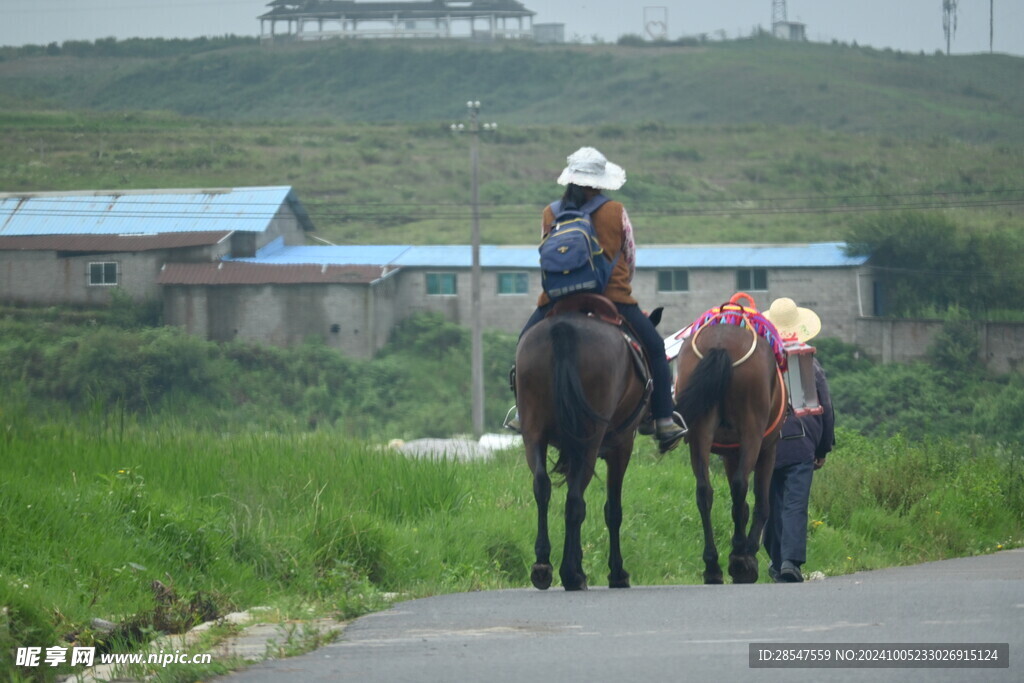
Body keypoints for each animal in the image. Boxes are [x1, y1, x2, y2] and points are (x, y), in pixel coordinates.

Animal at [516, 301, 651, 589]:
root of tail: (563, 328)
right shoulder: (621, 446)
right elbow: (613, 510)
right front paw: (617, 573)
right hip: (590, 442)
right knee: (575, 501)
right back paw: (571, 574)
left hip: (533, 433)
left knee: (542, 486)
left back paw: (543, 566)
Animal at [671, 313, 782, 585]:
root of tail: (722, 344)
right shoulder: (768, 449)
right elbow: (760, 502)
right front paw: (748, 553)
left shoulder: (731, 454)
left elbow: (739, 506)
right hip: (752, 430)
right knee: (742, 484)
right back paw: (740, 558)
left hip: (700, 432)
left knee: (704, 491)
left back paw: (712, 565)